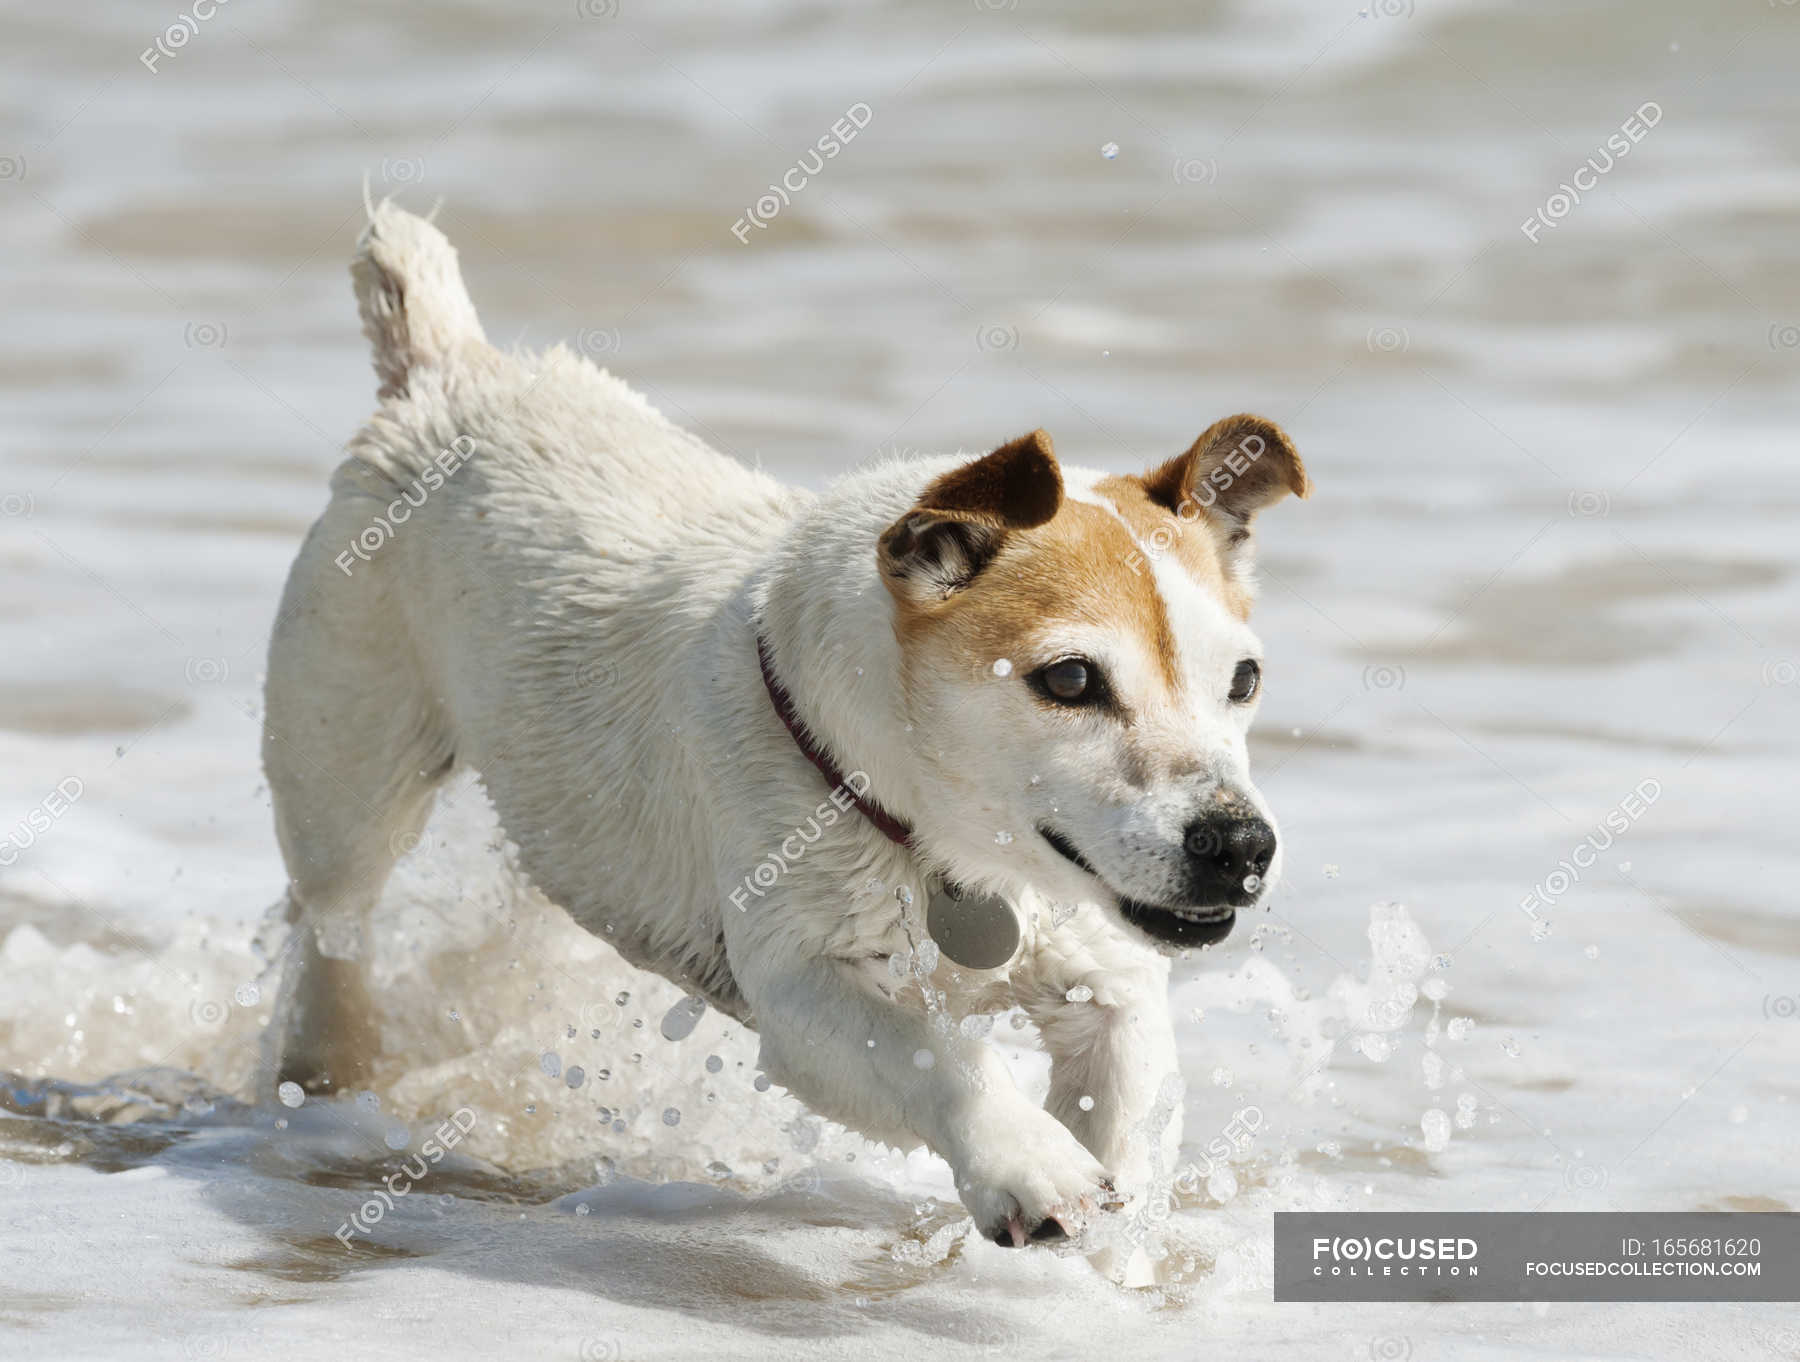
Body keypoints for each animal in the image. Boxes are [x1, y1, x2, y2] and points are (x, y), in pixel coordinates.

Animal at [262, 201, 1310, 1252]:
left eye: (1245, 680)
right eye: (1070, 679)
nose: (1240, 846)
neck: (951, 858)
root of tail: (451, 369)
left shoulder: (1112, 980)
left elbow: (1127, 1106)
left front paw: (1117, 1254)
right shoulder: (802, 989)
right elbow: (935, 1056)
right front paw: (1034, 1167)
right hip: (347, 770)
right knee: (329, 919)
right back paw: (324, 1070)